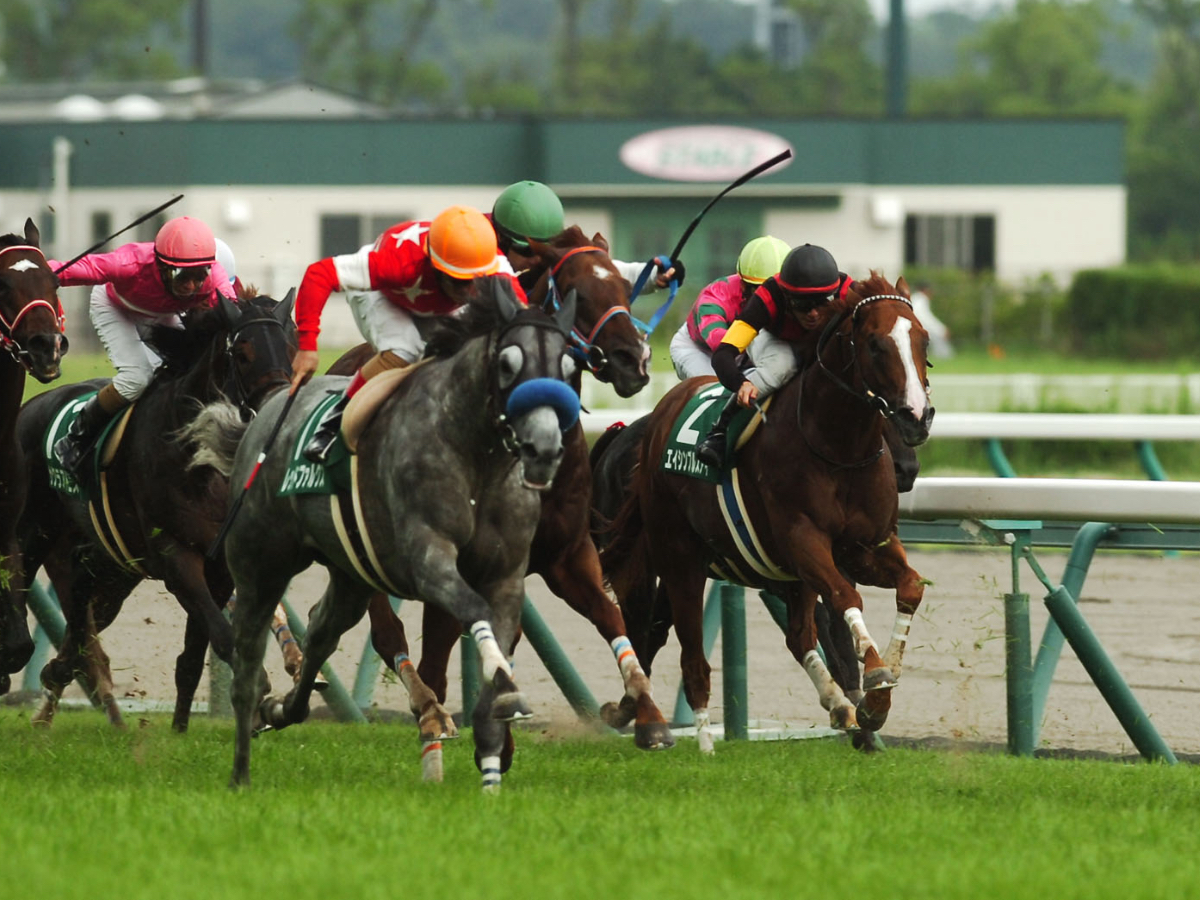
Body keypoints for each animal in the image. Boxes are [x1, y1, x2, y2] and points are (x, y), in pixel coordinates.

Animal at [190, 280, 576, 787]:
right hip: (260, 564)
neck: (475, 455)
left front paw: (492, 764)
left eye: (569, 367)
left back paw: (283, 708)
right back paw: (241, 769)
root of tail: (270, 408)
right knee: (248, 662)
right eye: (509, 364)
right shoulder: (427, 559)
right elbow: (474, 610)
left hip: (352, 576)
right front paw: (500, 695)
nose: (545, 448)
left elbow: (495, 636)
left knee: (320, 630)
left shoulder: (507, 575)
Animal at [324, 226, 676, 763]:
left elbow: (610, 617)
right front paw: (467, 729)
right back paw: (428, 709)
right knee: (389, 633)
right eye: (574, 289)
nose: (632, 361)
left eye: (621, 283)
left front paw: (648, 717)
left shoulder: (567, 556)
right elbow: (450, 647)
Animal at [600, 274, 936, 753]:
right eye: (875, 345)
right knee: (666, 639)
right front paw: (874, 683)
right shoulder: (803, 541)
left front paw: (876, 697)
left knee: (793, 636)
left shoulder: (865, 547)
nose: (916, 419)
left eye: (923, 340)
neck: (837, 449)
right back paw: (678, 734)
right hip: (675, 557)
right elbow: (845, 601)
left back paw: (838, 706)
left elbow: (909, 587)